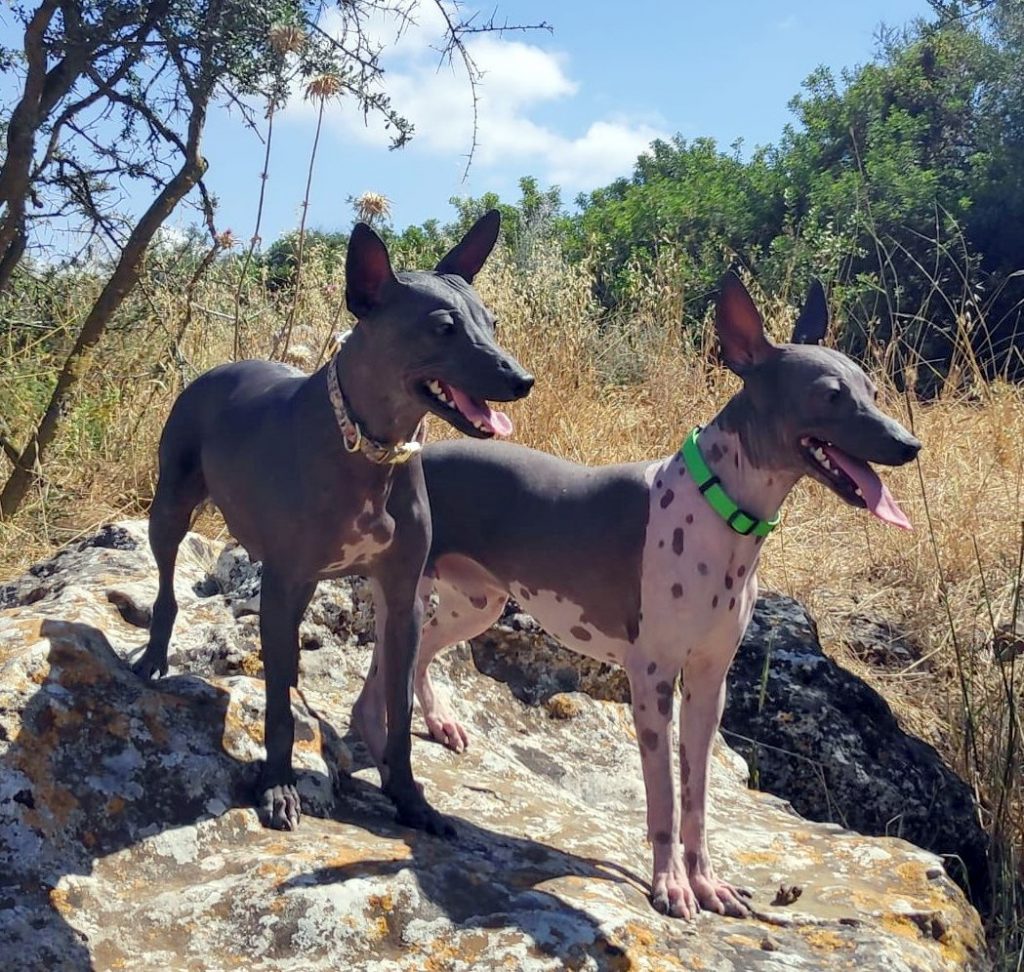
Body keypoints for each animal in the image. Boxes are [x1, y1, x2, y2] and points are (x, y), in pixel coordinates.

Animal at [132, 210, 532, 835]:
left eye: (490, 321)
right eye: (443, 327)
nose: (521, 380)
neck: (370, 449)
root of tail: (216, 369)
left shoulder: (402, 597)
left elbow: (398, 708)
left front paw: (411, 800)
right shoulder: (282, 583)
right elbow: (274, 706)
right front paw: (277, 786)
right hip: (171, 509)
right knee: (169, 588)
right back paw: (153, 657)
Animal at [356, 270, 925, 909]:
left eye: (871, 389)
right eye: (830, 394)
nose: (909, 444)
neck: (722, 511)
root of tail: (412, 453)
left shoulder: (708, 686)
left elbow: (697, 800)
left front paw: (707, 882)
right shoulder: (651, 680)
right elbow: (665, 800)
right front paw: (671, 886)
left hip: (478, 604)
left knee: (422, 653)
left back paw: (438, 723)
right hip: (412, 598)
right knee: (379, 676)